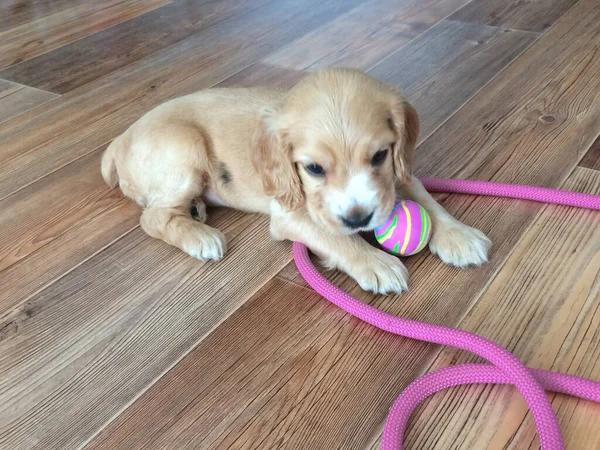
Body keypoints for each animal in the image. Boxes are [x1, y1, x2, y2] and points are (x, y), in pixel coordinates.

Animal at [101, 67, 490, 294]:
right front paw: (376, 263)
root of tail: (118, 141)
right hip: (185, 147)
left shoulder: (396, 174)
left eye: (380, 155)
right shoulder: (290, 214)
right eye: (314, 168)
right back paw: (200, 237)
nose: (359, 219)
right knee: (153, 216)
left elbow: (427, 198)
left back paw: (196, 209)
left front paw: (460, 235)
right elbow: (335, 236)